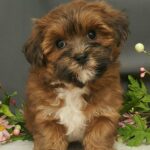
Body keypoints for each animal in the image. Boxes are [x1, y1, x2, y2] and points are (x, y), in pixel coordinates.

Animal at [23, 0, 127, 149]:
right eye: (60, 44)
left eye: (92, 34)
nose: (81, 57)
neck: (74, 87)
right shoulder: (47, 118)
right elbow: (50, 141)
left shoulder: (104, 115)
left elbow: (98, 138)